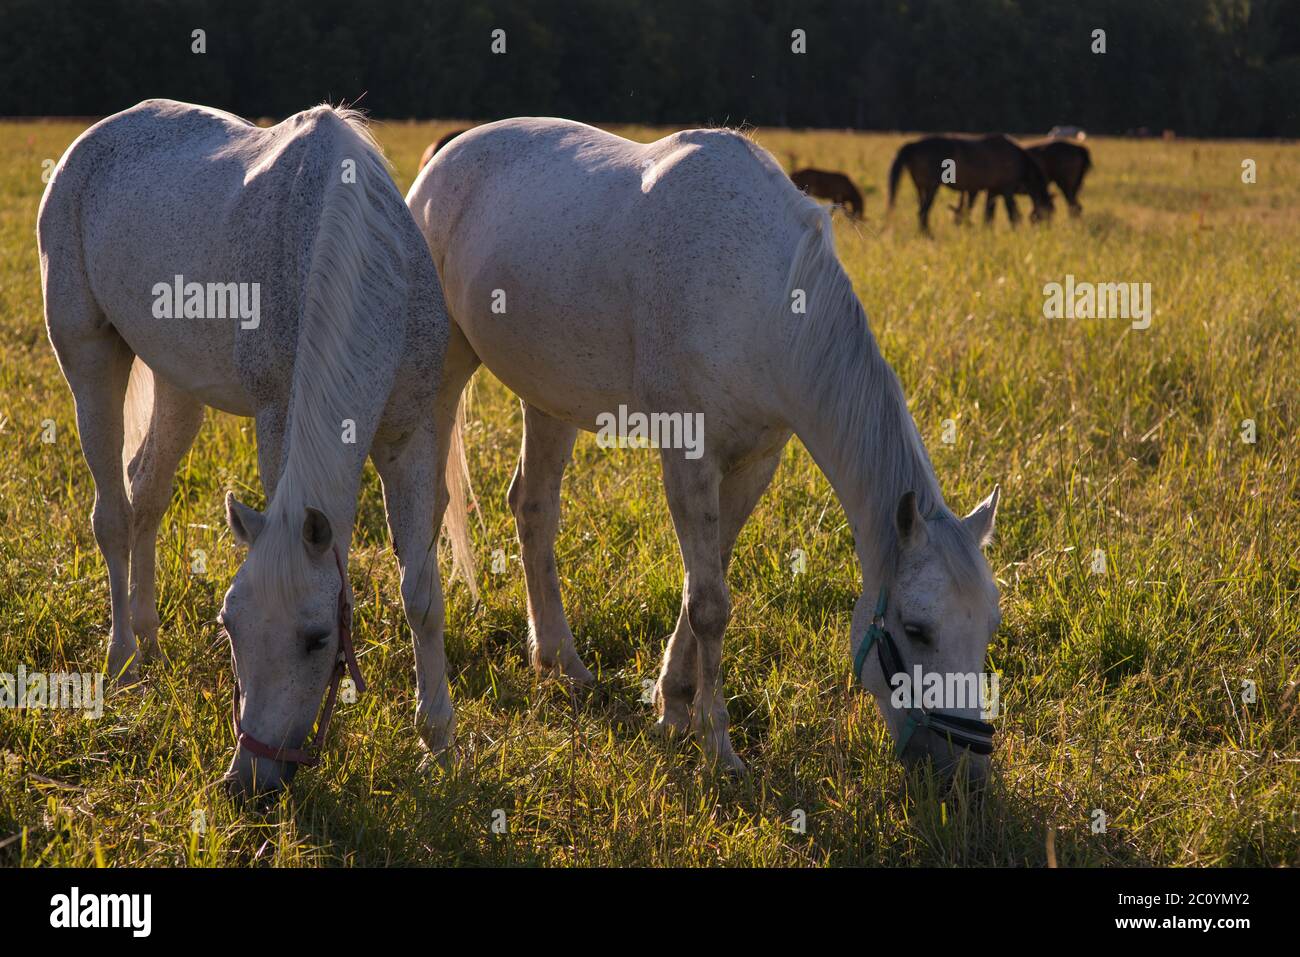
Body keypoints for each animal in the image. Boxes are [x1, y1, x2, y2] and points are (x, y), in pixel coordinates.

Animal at [37, 99, 474, 797]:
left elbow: (422, 594)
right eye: (230, 626)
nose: (249, 778)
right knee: (111, 515)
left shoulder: (409, 437)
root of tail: (88, 144)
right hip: (89, 361)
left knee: (145, 495)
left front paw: (439, 742)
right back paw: (124, 661)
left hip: (177, 385)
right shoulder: (278, 421)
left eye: (317, 639)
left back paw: (149, 641)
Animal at [409, 118, 1003, 782]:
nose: (968, 769)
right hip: (447, 373)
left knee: (533, 511)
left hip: (549, 400)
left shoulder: (752, 465)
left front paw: (673, 705)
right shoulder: (688, 457)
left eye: (989, 626)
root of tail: (444, 157)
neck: (764, 302)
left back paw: (561, 660)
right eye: (917, 628)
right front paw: (718, 745)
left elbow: (706, 578)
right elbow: (711, 604)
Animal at [888, 133, 1054, 233]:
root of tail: (913, 145)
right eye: (1048, 213)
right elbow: (1012, 214)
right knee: (923, 212)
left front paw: (987, 232)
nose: (1045, 233)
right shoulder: (1007, 190)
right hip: (931, 186)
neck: (1020, 162)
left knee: (921, 210)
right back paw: (928, 235)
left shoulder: (992, 191)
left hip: (920, 187)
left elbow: (988, 215)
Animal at [953, 138, 1091, 222]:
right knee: (1076, 207)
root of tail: (1079, 149)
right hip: (1072, 186)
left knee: (1074, 207)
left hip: (1066, 185)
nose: (1046, 230)